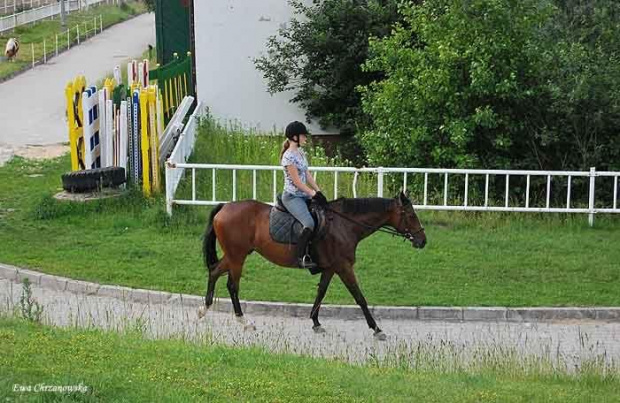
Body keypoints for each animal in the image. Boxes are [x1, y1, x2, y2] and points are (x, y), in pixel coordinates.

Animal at [201, 191, 424, 340]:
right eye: (411, 215)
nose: (423, 241)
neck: (344, 225)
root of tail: (225, 206)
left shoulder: (331, 268)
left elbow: (321, 292)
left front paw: (315, 322)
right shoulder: (344, 267)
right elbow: (359, 297)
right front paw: (376, 329)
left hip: (234, 255)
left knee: (214, 271)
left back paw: (204, 309)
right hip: (237, 257)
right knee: (232, 286)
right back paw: (244, 322)